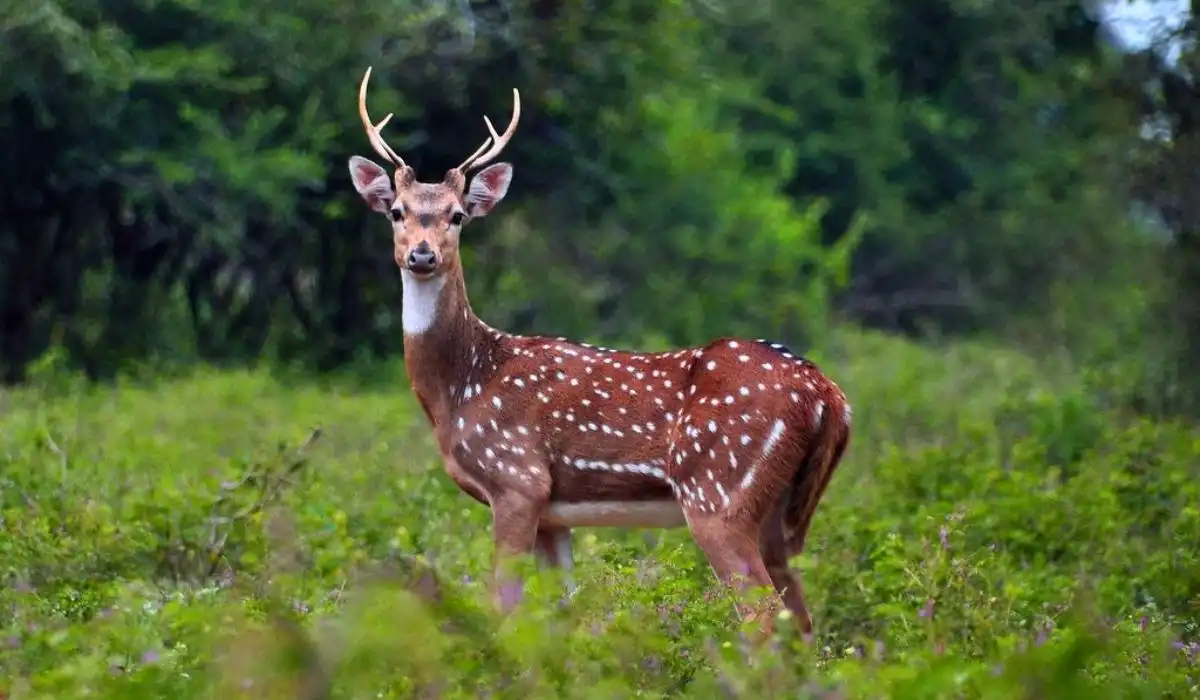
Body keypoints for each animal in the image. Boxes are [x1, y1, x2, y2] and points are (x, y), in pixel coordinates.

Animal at [346, 66, 852, 639]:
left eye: (456, 216)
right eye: (396, 211)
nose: (422, 254)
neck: (461, 386)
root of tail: (828, 397)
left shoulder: (517, 478)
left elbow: (504, 605)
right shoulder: (553, 512)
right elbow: (563, 611)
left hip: (718, 491)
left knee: (762, 616)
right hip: (782, 513)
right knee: (802, 622)